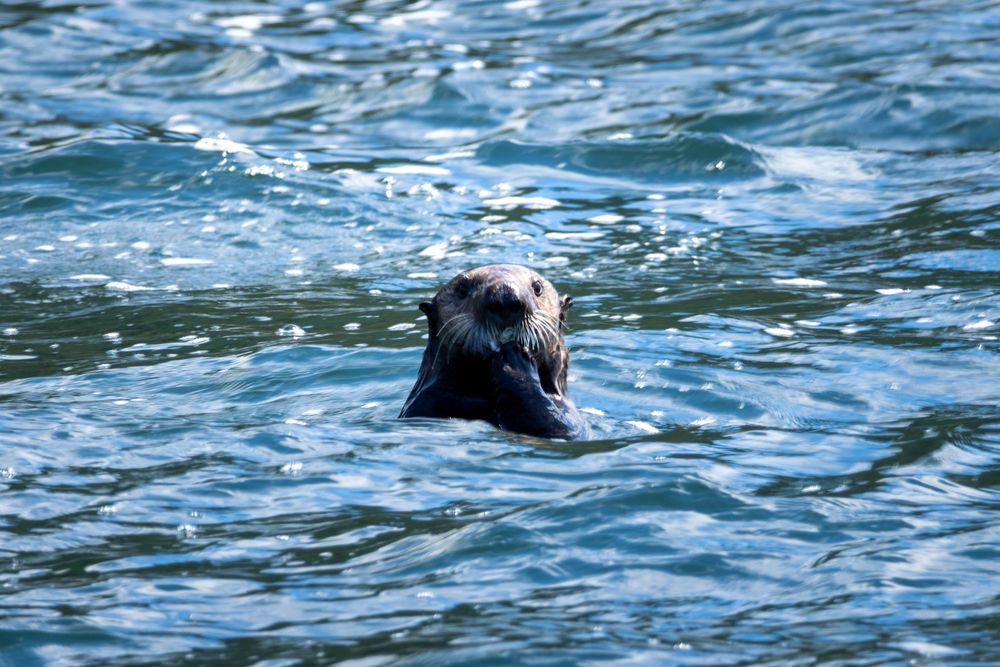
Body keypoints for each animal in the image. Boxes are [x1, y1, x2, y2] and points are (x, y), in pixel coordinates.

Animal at [399, 264, 590, 440]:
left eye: (537, 287)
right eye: (462, 289)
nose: (505, 298)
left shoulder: (571, 417)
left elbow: (558, 428)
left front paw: (514, 360)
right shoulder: (425, 402)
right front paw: (513, 358)